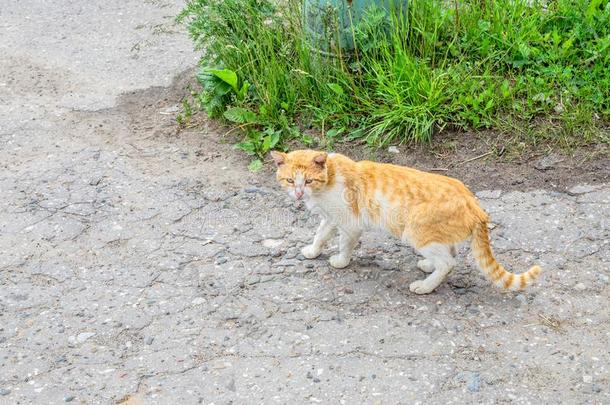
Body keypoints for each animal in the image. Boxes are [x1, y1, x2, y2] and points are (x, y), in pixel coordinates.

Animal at [268, 148, 540, 294]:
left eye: (308, 181)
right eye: (290, 181)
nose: (299, 194)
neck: (331, 177)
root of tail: (475, 205)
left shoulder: (350, 224)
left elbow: (344, 244)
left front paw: (341, 261)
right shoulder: (331, 218)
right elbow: (321, 235)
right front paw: (313, 251)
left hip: (416, 232)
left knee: (448, 263)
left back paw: (425, 285)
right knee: (450, 253)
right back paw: (428, 266)